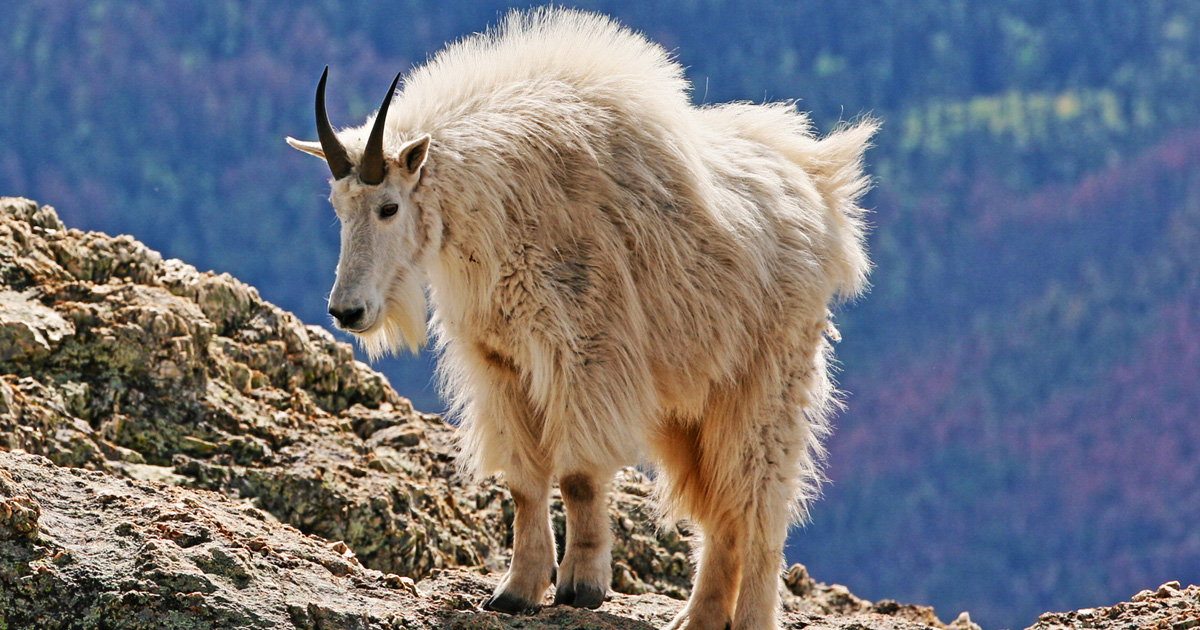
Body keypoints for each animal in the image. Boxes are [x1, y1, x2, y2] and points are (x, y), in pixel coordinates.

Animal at [287, 8, 875, 630]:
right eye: (337, 206)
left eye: (389, 206)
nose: (347, 311)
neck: (499, 206)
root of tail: (822, 190)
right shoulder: (500, 363)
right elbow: (524, 483)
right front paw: (516, 590)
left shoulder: (585, 353)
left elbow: (576, 475)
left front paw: (582, 586)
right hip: (693, 403)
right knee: (720, 513)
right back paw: (697, 617)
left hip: (768, 382)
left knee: (758, 505)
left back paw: (749, 616)